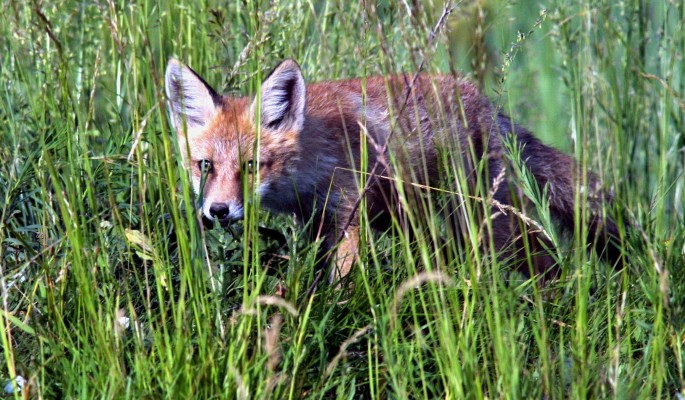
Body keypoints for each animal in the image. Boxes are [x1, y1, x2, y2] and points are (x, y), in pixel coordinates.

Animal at [167, 57, 624, 282]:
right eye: (205, 166)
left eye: (252, 166)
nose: (218, 211)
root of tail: (485, 103)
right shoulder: (317, 222)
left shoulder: (349, 214)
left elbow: (341, 281)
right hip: (417, 219)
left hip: (483, 220)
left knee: (544, 256)